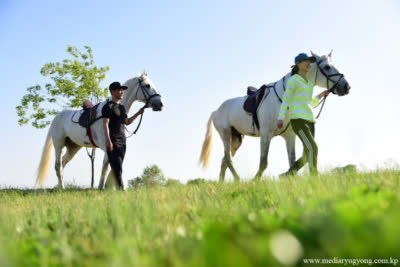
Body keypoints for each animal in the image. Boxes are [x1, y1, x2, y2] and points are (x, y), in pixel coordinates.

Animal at [34, 70, 162, 189]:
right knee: (58, 166)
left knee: (63, 163)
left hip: (73, 147)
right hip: (59, 145)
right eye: (147, 85)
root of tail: (56, 117)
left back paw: (58, 186)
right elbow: (106, 167)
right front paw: (101, 187)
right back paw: (62, 188)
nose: (160, 104)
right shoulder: (107, 147)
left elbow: (112, 167)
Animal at [199, 51, 350, 182]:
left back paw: (222, 182)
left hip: (236, 139)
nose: (346, 86)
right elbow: (264, 162)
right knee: (228, 159)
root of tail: (216, 111)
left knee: (224, 159)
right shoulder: (266, 135)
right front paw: (256, 180)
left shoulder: (290, 136)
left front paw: (288, 176)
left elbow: (293, 160)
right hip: (225, 134)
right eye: (327, 67)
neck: (284, 98)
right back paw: (237, 179)